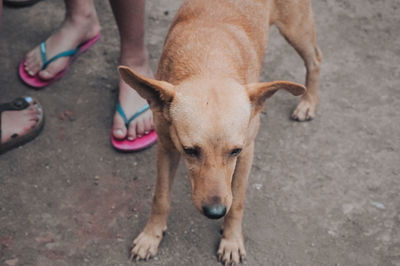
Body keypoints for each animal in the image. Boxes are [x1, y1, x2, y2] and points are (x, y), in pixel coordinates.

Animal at [119, 0, 322, 264]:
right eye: (190, 151)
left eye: (235, 151)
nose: (215, 212)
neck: (209, 61)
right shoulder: (166, 148)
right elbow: (160, 197)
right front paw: (150, 236)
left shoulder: (247, 153)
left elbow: (237, 201)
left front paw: (231, 240)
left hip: (296, 28)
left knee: (315, 59)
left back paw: (308, 101)